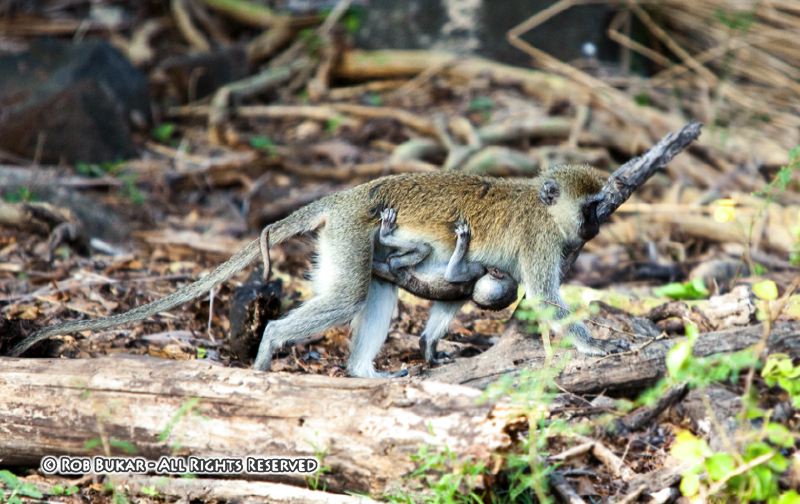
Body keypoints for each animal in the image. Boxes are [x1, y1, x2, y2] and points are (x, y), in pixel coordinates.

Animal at [9, 163, 628, 376]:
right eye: (592, 207)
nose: (596, 229)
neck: (542, 208)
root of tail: (349, 195)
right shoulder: (542, 242)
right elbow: (546, 300)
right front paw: (599, 346)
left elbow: (459, 293)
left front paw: (431, 346)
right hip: (354, 230)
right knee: (352, 292)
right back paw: (268, 349)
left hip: (348, 238)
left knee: (375, 290)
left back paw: (361, 372)